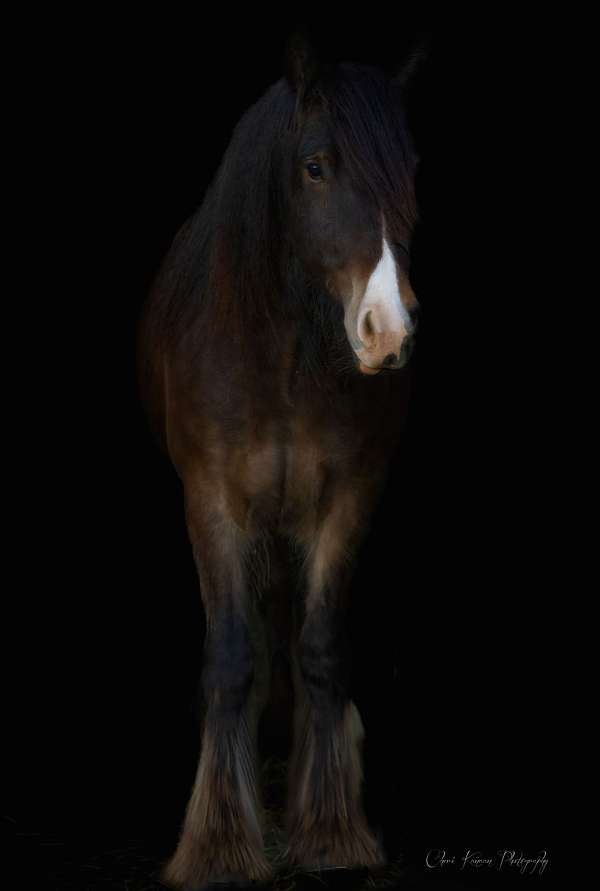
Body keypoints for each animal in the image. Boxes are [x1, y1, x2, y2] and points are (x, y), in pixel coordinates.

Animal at [139, 36, 422, 891]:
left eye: (410, 168)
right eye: (316, 166)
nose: (387, 330)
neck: (282, 358)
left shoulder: (348, 497)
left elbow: (322, 649)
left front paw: (330, 831)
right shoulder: (213, 503)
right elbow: (232, 658)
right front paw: (219, 844)